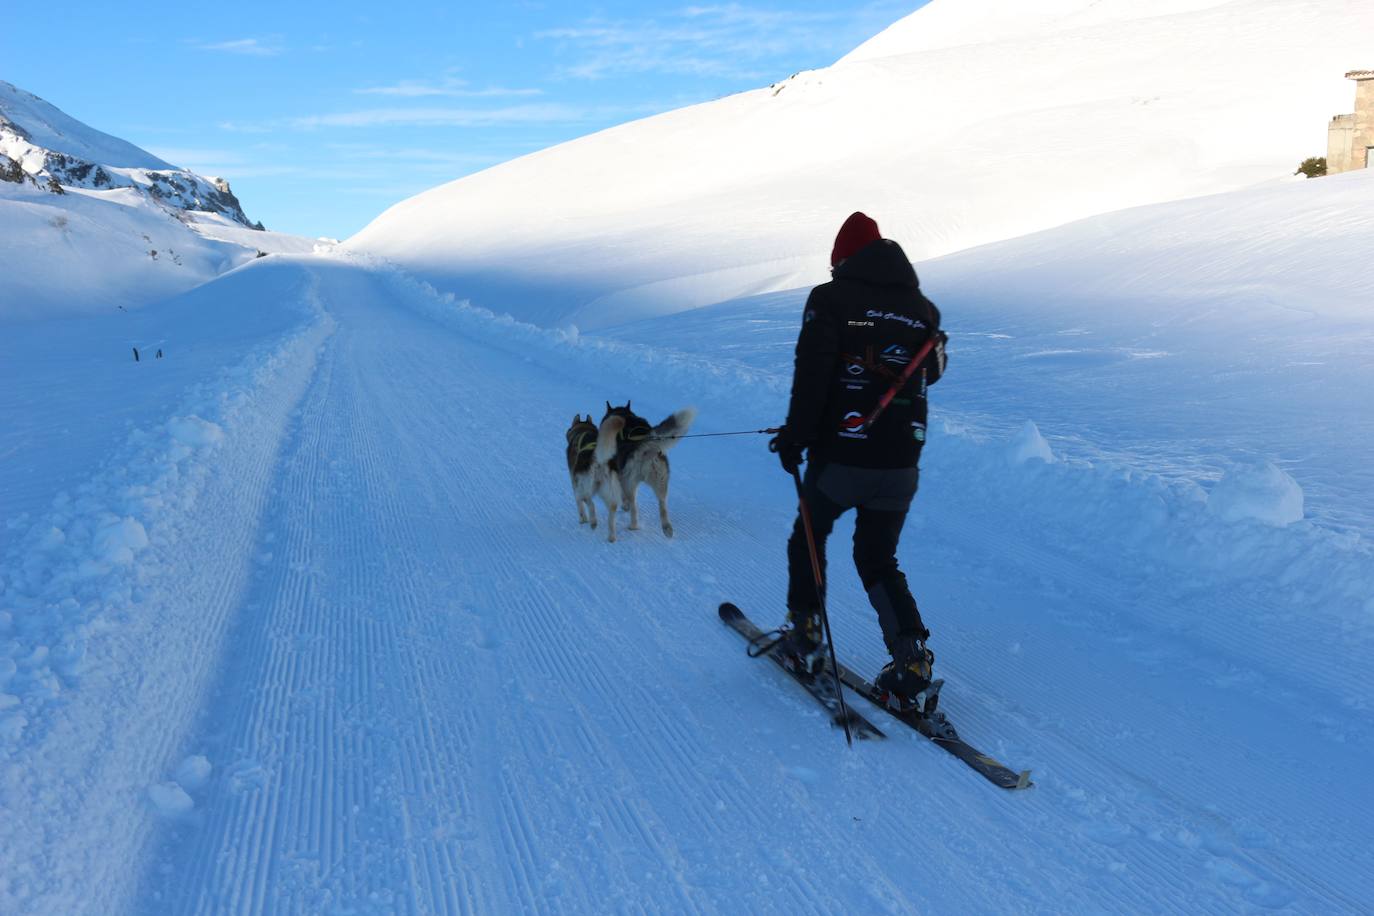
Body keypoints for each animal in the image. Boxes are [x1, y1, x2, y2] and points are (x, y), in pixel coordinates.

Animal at [601, 401, 697, 538]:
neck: (624, 414)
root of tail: (646, 445)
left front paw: (624, 506)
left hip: (629, 483)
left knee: (634, 506)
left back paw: (633, 526)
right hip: (661, 482)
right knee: (662, 504)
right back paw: (667, 528)